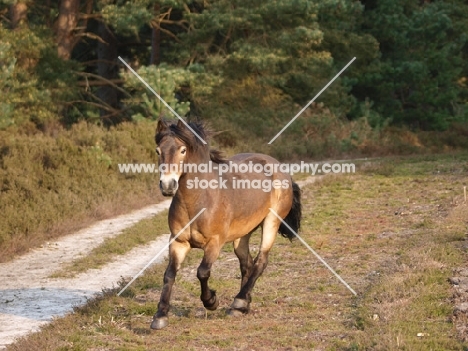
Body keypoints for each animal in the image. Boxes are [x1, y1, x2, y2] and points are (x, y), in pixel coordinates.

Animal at [152, 119, 302, 330]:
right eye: (158, 151)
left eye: (182, 150)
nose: (167, 185)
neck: (200, 200)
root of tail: (278, 166)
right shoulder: (178, 242)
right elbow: (169, 274)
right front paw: (160, 316)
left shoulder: (215, 243)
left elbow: (202, 272)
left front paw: (211, 301)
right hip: (242, 235)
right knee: (247, 264)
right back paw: (243, 305)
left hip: (271, 223)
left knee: (260, 261)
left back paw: (239, 302)